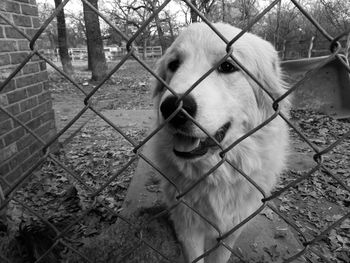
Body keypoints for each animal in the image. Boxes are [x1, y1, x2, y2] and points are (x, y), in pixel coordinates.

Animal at [148, 23, 290, 263]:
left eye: (227, 66)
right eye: (174, 65)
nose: (172, 109)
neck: (216, 174)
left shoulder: (230, 231)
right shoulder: (187, 226)